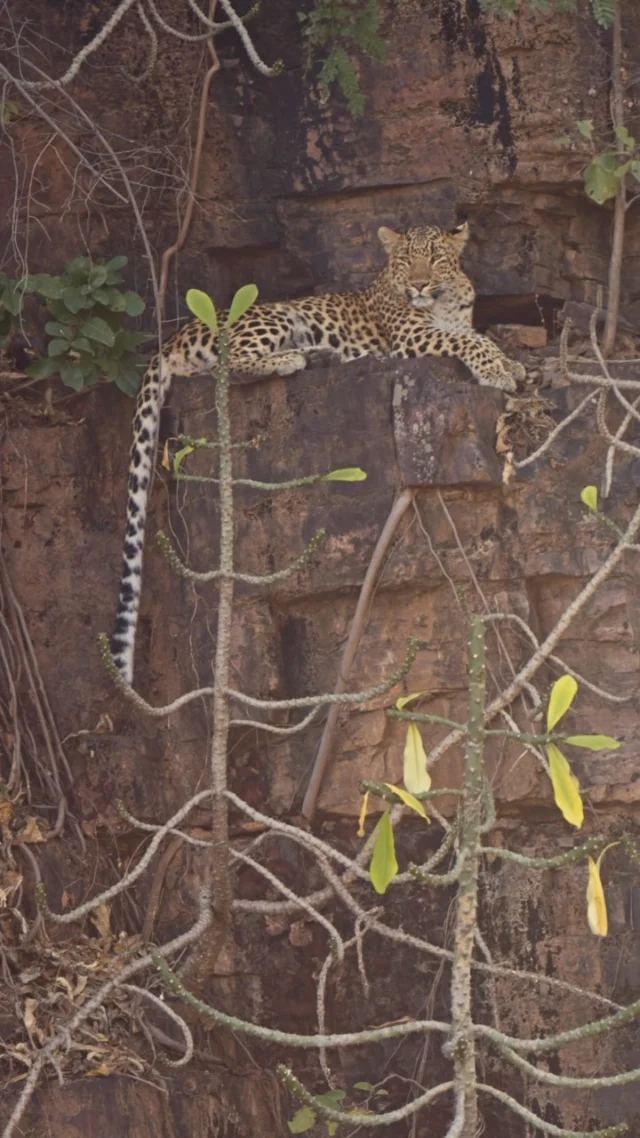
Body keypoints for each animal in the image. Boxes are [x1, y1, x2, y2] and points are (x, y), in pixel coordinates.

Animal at [111, 220, 525, 683]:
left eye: (435, 258)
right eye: (405, 261)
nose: (418, 284)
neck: (446, 297)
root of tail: (171, 339)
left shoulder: (455, 321)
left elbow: (479, 336)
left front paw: (512, 364)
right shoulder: (413, 336)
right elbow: (473, 343)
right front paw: (498, 372)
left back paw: (320, 355)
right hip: (271, 315)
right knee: (228, 365)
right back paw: (292, 360)